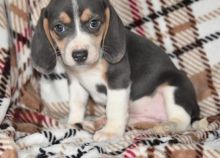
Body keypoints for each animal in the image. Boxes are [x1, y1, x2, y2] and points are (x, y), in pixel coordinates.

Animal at [31, 0, 201, 141]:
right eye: (59, 27)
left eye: (94, 23)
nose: (79, 55)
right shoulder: (75, 83)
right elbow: (77, 104)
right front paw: (74, 123)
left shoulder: (118, 79)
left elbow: (115, 107)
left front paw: (110, 132)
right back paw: (100, 122)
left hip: (175, 86)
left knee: (182, 120)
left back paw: (167, 126)